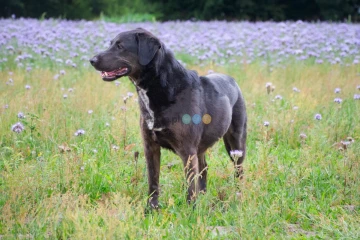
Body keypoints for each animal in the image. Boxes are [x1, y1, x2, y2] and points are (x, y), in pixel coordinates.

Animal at [90, 27, 248, 208]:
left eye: (120, 46)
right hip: (202, 147)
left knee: (239, 171)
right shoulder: (150, 146)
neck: (161, 87)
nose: (91, 60)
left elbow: (190, 187)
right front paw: (151, 209)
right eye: (110, 44)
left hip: (236, 144)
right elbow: (153, 182)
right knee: (204, 168)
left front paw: (191, 211)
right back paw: (204, 195)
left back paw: (238, 196)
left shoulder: (187, 150)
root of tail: (232, 79)